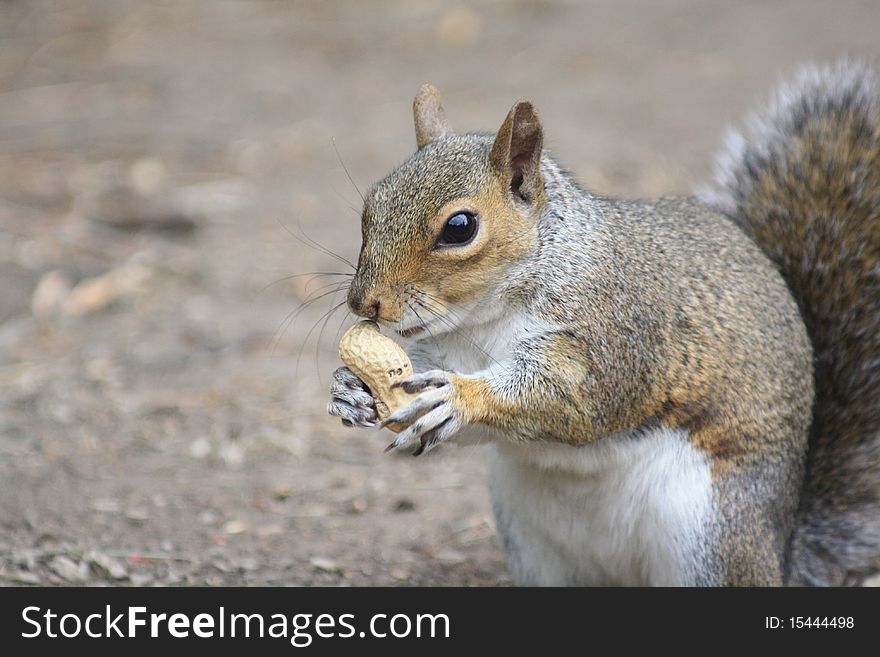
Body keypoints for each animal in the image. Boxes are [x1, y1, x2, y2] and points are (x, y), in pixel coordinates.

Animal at [326, 60, 876, 584]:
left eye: (460, 227)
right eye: (371, 206)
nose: (365, 303)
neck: (482, 322)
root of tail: (780, 552)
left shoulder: (614, 332)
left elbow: (575, 397)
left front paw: (459, 397)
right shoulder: (445, 351)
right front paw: (351, 389)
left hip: (712, 536)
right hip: (532, 546)